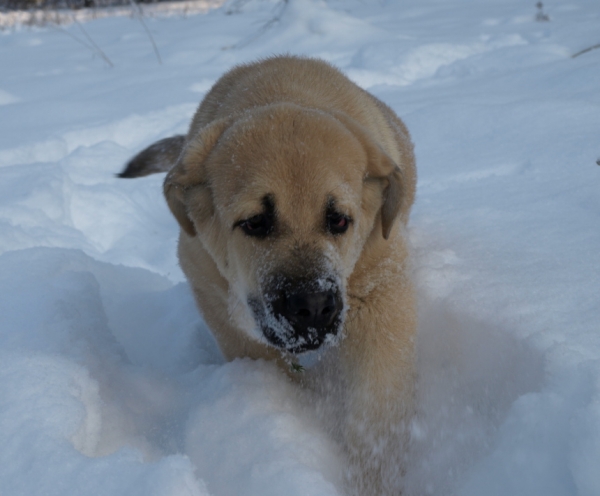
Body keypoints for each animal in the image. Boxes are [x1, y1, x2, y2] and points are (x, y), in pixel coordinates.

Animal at [119, 55, 414, 496]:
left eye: (339, 220)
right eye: (255, 223)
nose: (313, 307)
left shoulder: (383, 293)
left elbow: (375, 408)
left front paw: (375, 477)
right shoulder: (218, 300)